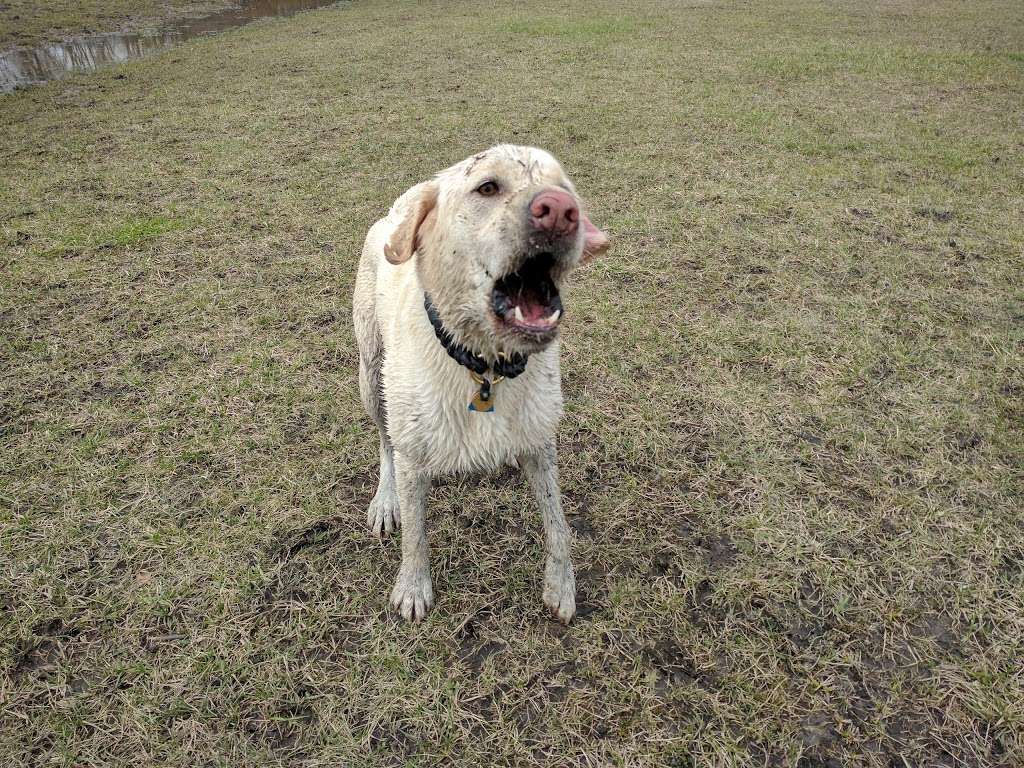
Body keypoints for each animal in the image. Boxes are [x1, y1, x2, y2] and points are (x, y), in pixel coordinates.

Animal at [352, 144, 606, 626]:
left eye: (565, 188)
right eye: (487, 187)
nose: (561, 211)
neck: (484, 366)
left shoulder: (541, 441)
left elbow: (558, 523)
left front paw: (561, 584)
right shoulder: (412, 455)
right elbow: (415, 535)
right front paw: (413, 587)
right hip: (371, 375)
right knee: (383, 441)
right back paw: (384, 500)